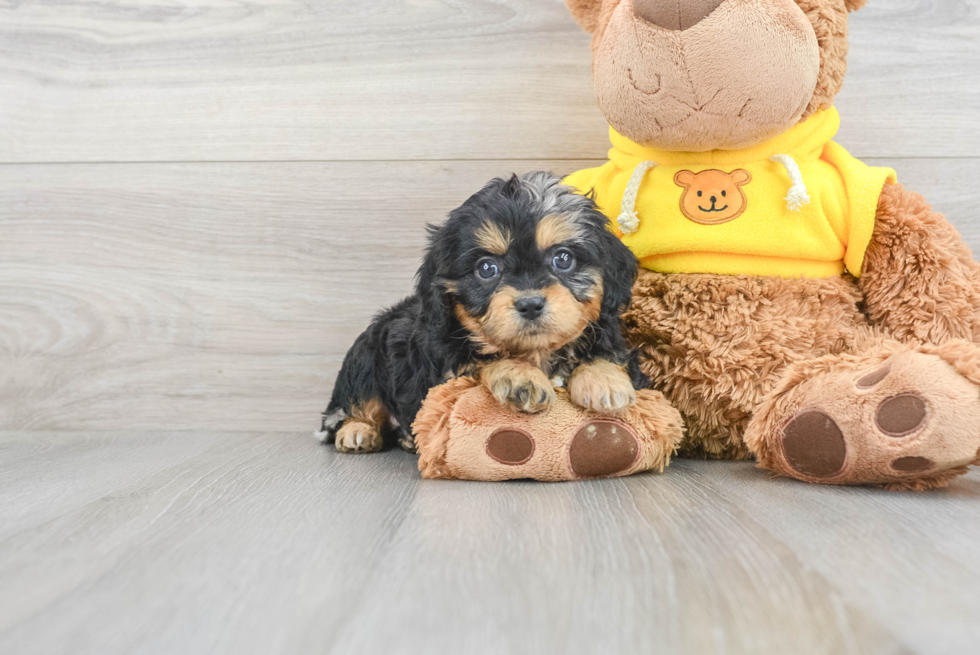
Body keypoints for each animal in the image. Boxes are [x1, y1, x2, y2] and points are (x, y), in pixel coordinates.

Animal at [318, 172, 648, 454]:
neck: (537, 352)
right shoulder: (446, 370)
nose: (530, 304)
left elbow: (608, 352)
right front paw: (521, 378)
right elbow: (482, 357)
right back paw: (358, 431)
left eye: (563, 259)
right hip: (364, 359)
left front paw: (606, 381)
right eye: (487, 268)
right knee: (351, 406)